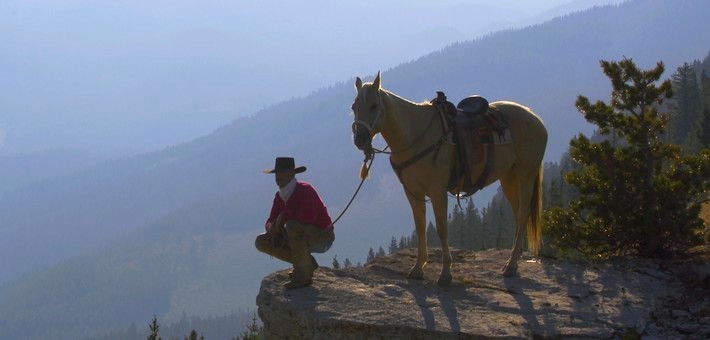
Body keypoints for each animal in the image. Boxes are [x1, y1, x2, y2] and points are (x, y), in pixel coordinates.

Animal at [354, 71, 548, 284]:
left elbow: (441, 228)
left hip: (526, 173)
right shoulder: (413, 192)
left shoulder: (437, 191)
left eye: (374, 105)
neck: (416, 134)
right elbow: (420, 225)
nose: (359, 139)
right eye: (354, 107)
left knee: (522, 213)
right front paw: (418, 268)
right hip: (509, 177)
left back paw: (512, 265)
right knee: (517, 211)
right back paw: (514, 257)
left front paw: (446, 273)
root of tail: (536, 118)